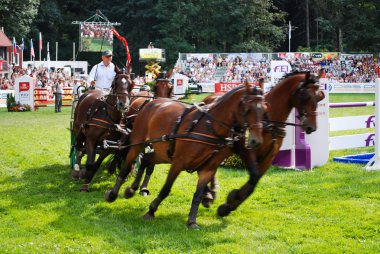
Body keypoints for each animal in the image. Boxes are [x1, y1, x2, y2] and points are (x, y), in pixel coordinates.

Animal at [104, 83, 268, 228]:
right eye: (247, 109)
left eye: (265, 110)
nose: (256, 140)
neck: (210, 127)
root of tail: (151, 102)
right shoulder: (178, 163)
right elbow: (166, 189)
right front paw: (151, 211)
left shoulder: (207, 169)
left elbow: (197, 195)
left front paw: (192, 220)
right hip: (138, 143)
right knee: (127, 167)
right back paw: (113, 194)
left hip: (163, 153)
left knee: (145, 160)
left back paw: (133, 189)